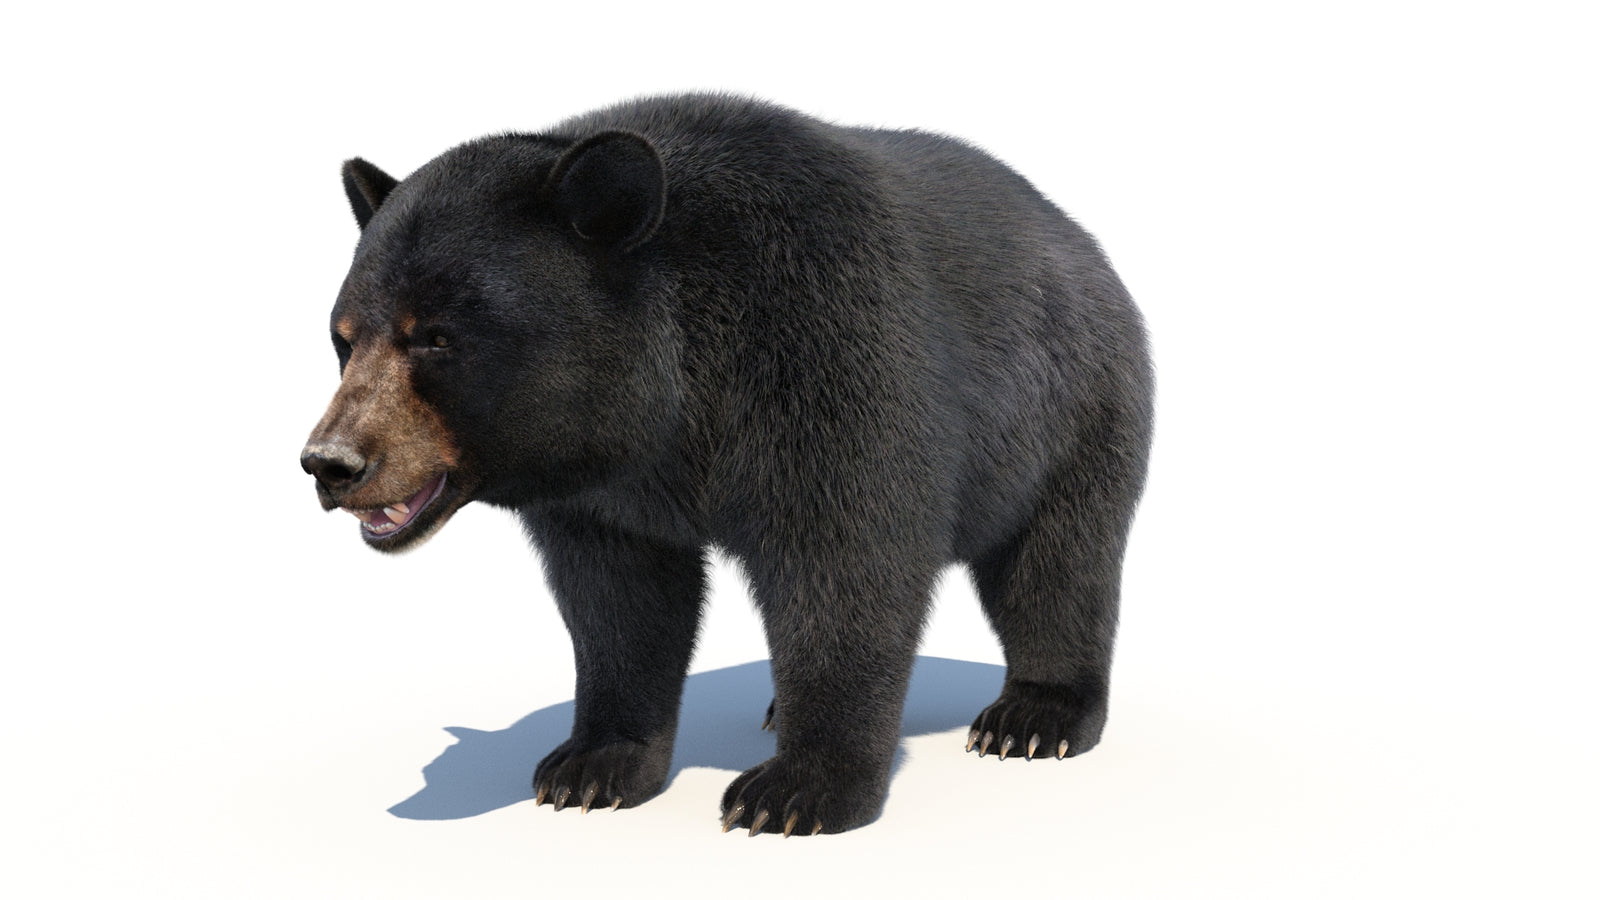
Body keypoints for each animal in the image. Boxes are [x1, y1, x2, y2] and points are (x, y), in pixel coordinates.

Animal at [301, 93, 1153, 836]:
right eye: (344, 337)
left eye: (435, 336)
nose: (330, 463)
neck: (672, 401)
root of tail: (1081, 239)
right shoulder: (603, 492)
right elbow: (619, 601)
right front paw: (592, 765)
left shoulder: (828, 354)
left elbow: (848, 564)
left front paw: (798, 791)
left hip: (1069, 407)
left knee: (1056, 564)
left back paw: (1034, 717)